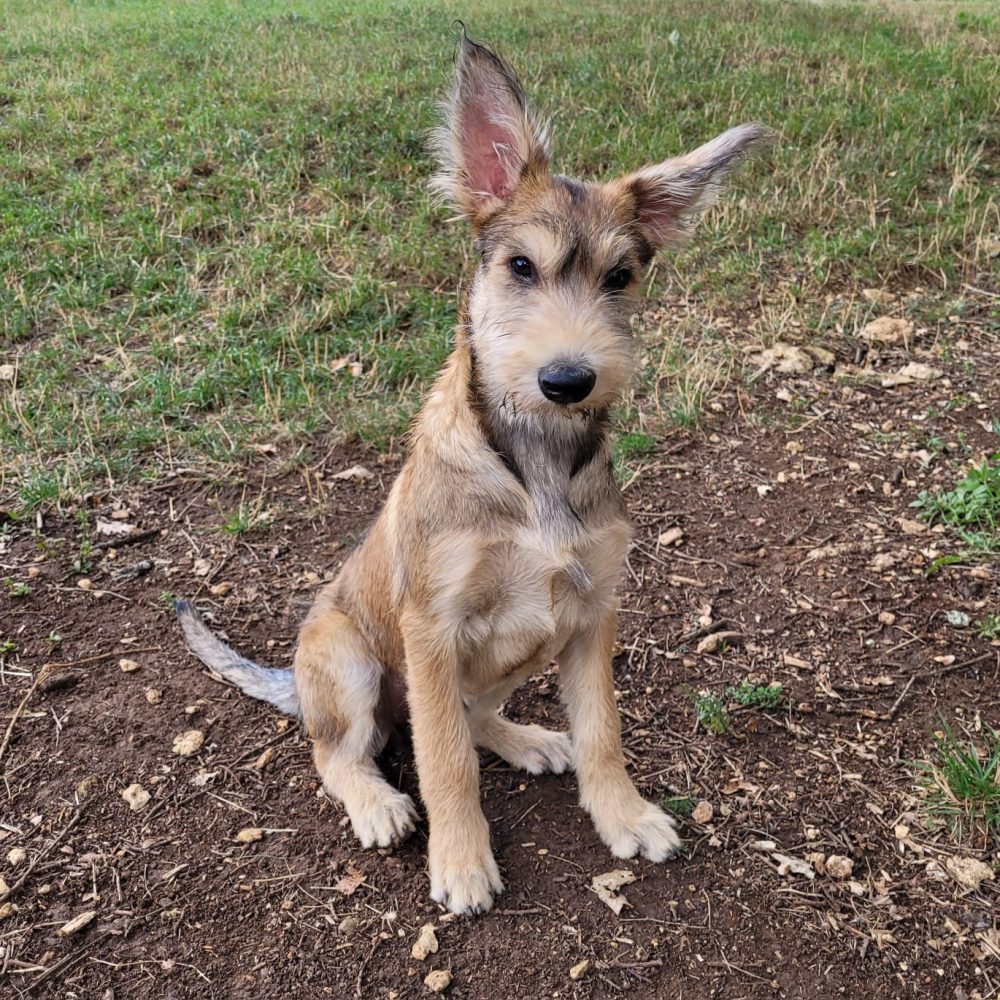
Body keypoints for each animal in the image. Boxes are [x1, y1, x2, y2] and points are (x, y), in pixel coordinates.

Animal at [178, 31, 772, 916]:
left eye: (620, 277)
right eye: (520, 267)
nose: (568, 380)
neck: (535, 464)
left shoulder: (591, 611)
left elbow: (602, 729)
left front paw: (623, 812)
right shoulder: (431, 627)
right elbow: (445, 761)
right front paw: (460, 861)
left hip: (528, 644)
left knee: (472, 714)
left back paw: (524, 738)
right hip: (347, 658)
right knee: (346, 752)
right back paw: (379, 802)